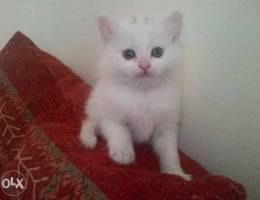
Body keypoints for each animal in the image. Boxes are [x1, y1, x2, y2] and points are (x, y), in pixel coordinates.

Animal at [79, 10, 191, 180]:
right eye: (128, 54)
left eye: (157, 52)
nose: (144, 65)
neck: (143, 94)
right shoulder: (111, 115)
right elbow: (120, 133)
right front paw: (123, 153)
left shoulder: (166, 125)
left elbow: (170, 152)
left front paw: (176, 173)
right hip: (96, 107)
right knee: (89, 123)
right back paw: (89, 139)